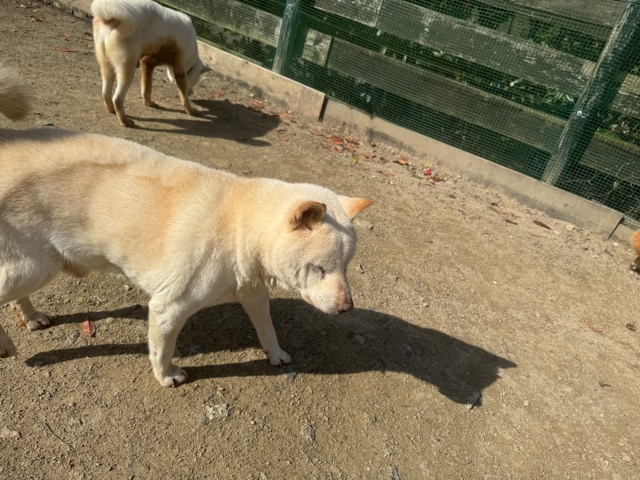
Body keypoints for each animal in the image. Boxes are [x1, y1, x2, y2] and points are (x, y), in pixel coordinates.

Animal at [0, 66, 372, 387]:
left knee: (16, 299)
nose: (347, 308)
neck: (239, 226)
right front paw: (167, 376)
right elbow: (162, 350)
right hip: (35, 268)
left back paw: (30, 317)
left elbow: (268, 330)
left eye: (345, 266)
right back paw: (7, 343)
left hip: (33, 269)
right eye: (319, 268)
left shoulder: (253, 294)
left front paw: (277, 355)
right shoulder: (168, 307)